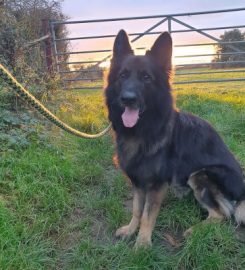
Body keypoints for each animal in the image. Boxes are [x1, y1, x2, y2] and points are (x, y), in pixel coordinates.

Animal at [104, 30, 244, 249]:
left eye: (146, 77)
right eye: (123, 76)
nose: (127, 98)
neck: (143, 131)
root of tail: (243, 192)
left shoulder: (155, 184)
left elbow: (147, 215)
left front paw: (142, 244)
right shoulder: (138, 181)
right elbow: (136, 209)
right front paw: (130, 230)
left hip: (200, 174)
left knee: (222, 214)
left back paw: (194, 231)